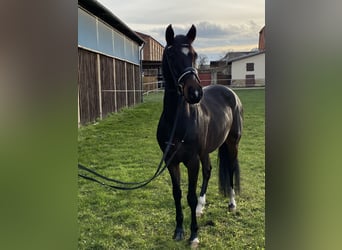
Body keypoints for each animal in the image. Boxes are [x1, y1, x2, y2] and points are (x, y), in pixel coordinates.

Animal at [158, 24, 243, 245]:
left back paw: (232, 203)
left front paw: (194, 235)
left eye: (194, 55)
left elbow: (190, 196)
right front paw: (179, 230)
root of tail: (231, 94)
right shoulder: (171, 161)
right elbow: (177, 194)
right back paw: (200, 207)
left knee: (230, 169)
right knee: (209, 170)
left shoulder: (191, 161)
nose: (195, 93)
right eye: (171, 55)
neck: (177, 120)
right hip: (205, 151)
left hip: (232, 143)